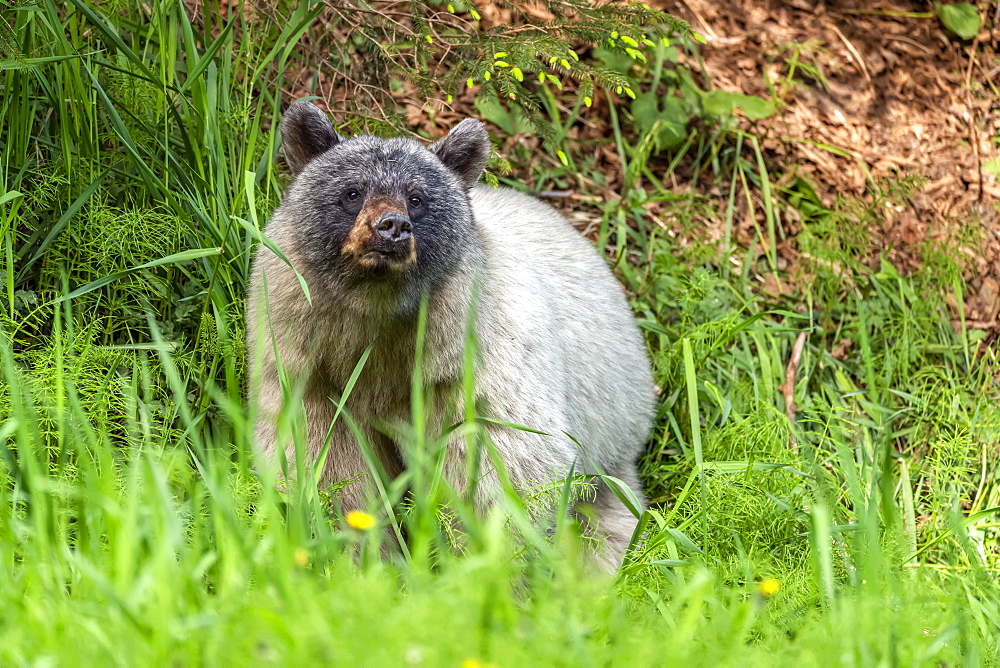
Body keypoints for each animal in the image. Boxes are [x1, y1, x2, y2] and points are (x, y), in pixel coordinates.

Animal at [248, 100, 656, 568]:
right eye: (352, 191)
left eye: (417, 197)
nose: (392, 227)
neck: (378, 315)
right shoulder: (311, 364)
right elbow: (328, 464)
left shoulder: (472, 359)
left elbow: (498, 466)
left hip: (607, 443)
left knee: (602, 524)